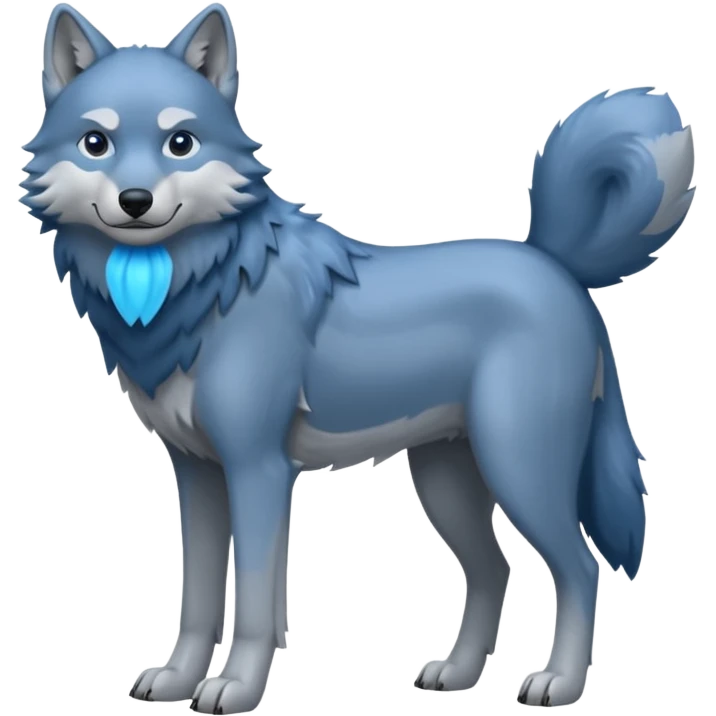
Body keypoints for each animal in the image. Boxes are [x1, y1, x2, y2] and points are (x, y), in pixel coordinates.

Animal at [20, 3, 695, 713]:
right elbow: (199, 596)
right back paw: (457, 675)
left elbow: (256, 600)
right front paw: (177, 679)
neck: (204, 283)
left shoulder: (258, 470)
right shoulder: (197, 473)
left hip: (519, 468)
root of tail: (552, 260)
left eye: (181, 143)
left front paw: (236, 687)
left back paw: (558, 683)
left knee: (580, 568)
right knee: (495, 570)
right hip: (446, 481)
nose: (136, 202)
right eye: (96, 143)